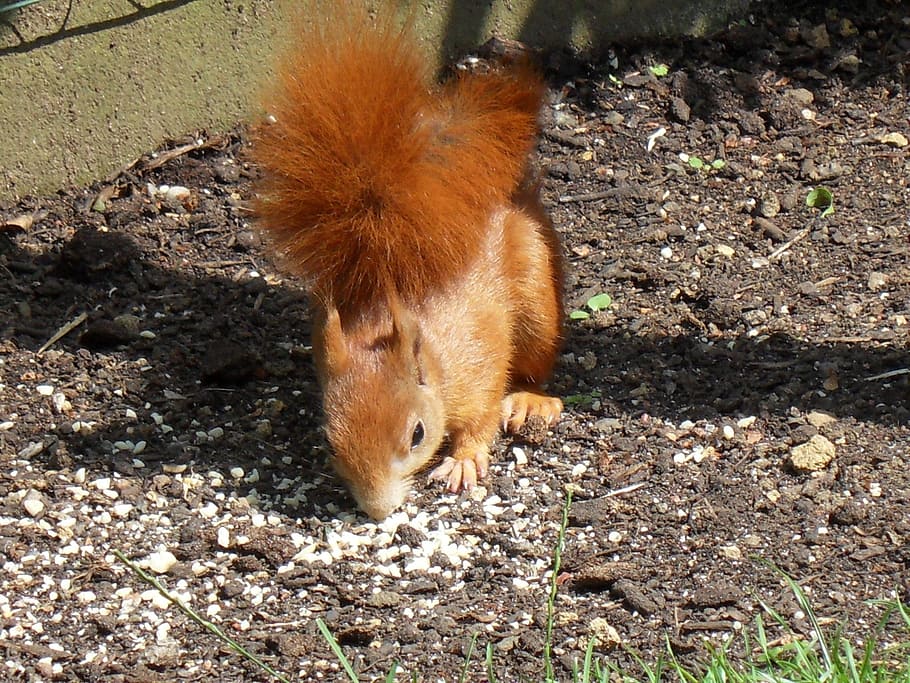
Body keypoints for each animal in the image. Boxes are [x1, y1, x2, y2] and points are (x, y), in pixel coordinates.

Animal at [251, 7, 564, 520]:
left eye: (417, 435)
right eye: (330, 444)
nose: (379, 511)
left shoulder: (479, 363)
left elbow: (480, 418)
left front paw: (465, 459)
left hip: (538, 294)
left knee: (537, 362)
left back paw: (530, 401)